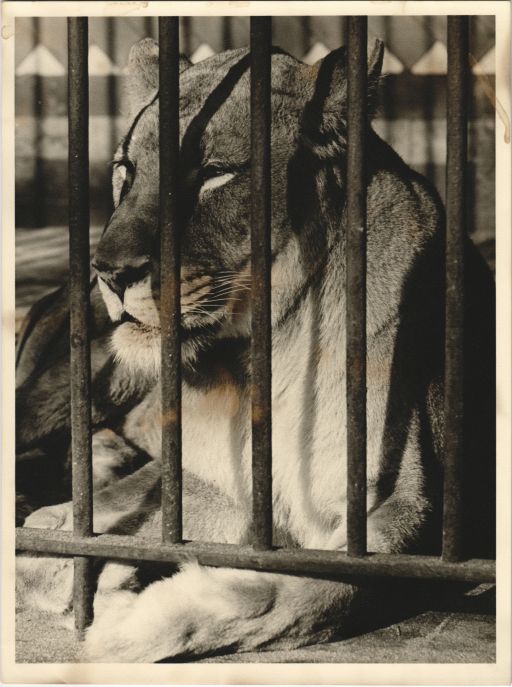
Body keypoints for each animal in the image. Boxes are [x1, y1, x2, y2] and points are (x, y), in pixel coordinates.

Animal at [16, 38, 495, 662]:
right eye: (126, 169)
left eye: (214, 175)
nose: (110, 272)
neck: (270, 345)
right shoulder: (209, 474)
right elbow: (93, 527)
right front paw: (76, 552)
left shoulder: (404, 509)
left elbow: (317, 589)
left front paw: (133, 620)